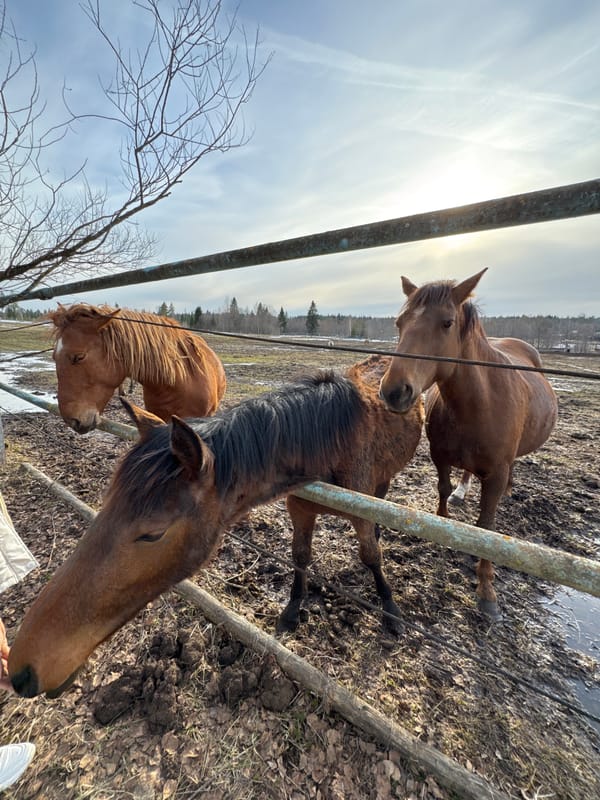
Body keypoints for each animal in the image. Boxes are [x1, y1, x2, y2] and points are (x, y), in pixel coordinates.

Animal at [9, 355, 423, 698]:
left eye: (153, 532)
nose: (23, 667)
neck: (330, 440)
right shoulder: (300, 507)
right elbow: (300, 555)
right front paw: (292, 609)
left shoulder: (360, 508)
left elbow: (370, 555)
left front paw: (391, 613)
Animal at [379, 269, 558, 620]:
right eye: (399, 323)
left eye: (447, 323)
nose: (394, 391)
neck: (479, 403)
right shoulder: (439, 456)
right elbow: (443, 489)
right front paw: (443, 525)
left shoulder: (497, 471)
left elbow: (486, 526)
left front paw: (487, 591)